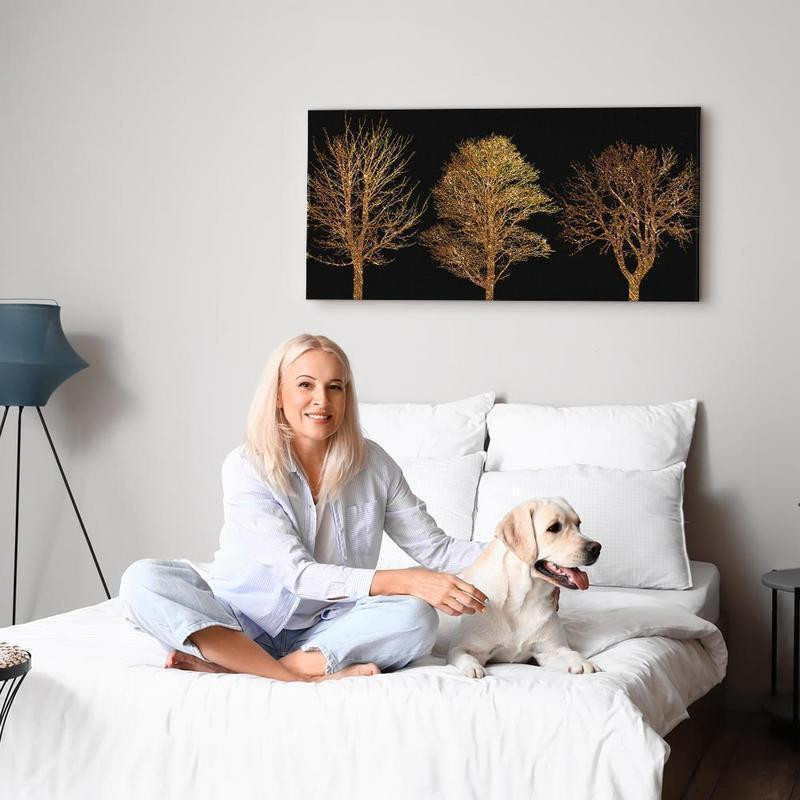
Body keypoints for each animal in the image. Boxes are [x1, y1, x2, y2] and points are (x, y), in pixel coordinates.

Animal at [447, 498, 602, 678]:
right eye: (554, 527)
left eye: (578, 524)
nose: (596, 548)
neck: (523, 599)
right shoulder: (462, 648)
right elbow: (463, 655)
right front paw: (474, 668)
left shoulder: (550, 650)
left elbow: (572, 653)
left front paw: (583, 662)